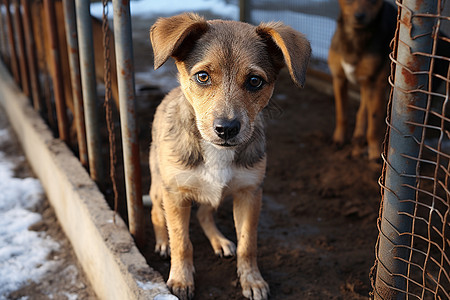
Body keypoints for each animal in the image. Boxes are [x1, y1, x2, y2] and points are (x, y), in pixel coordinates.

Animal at [149, 12, 312, 300]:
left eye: (255, 81)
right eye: (202, 76)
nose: (226, 129)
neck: (217, 152)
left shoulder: (249, 192)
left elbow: (248, 243)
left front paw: (252, 281)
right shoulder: (176, 194)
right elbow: (182, 241)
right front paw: (181, 280)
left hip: (219, 192)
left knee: (204, 213)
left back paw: (220, 242)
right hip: (160, 186)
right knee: (157, 214)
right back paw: (161, 242)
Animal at [326, 0, 398, 162]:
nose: (359, 16)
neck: (355, 36)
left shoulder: (376, 84)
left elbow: (375, 121)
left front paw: (374, 151)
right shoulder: (339, 79)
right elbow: (341, 112)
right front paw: (339, 139)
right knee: (363, 107)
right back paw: (358, 135)